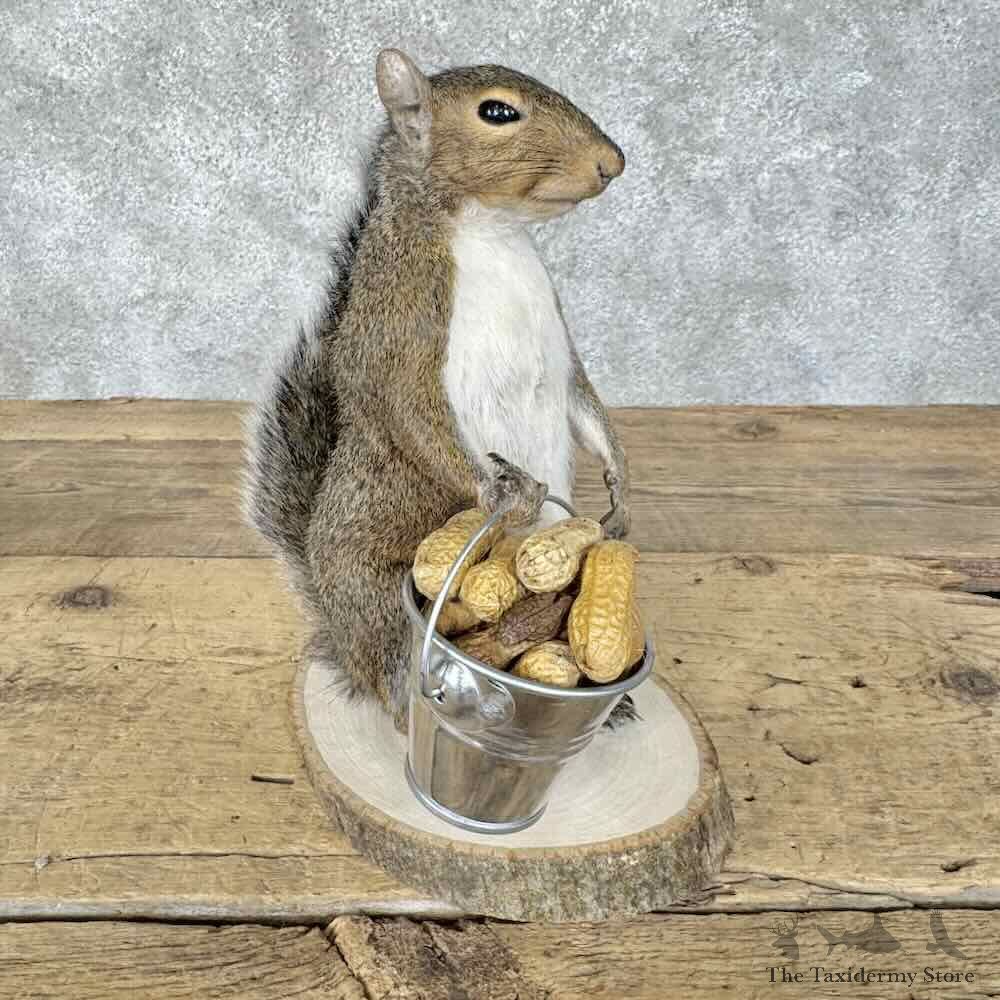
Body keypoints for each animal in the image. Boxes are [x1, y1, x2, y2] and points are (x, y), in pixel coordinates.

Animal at [246, 49, 632, 728]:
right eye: (497, 112)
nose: (612, 162)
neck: (495, 235)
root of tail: (344, 642)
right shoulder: (401, 316)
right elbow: (409, 410)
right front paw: (499, 491)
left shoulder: (560, 347)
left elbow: (582, 400)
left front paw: (620, 479)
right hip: (389, 606)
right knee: (399, 677)